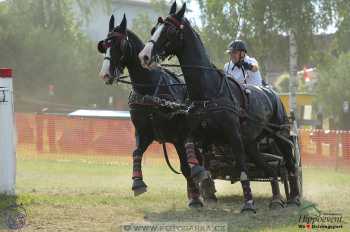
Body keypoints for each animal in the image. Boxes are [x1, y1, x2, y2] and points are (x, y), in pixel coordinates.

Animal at [97, 14, 204, 207]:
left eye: (119, 45)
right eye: (104, 46)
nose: (105, 74)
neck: (149, 89)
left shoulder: (178, 136)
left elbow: (185, 167)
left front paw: (194, 197)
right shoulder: (144, 132)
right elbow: (136, 152)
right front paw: (137, 182)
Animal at [139, 1, 300, 212]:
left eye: (170, 30)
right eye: (154, 29)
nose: (144, 56)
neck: (209, 90)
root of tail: (274, 95)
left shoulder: (233, 136)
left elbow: (242, 169)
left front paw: (248, 203)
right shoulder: (200, 134)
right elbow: (190, 147)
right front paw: (200, 176)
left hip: (279, 135)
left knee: (289, 163)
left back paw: (294, 197)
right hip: (251, 143)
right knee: (271, 168)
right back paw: (276, 199)